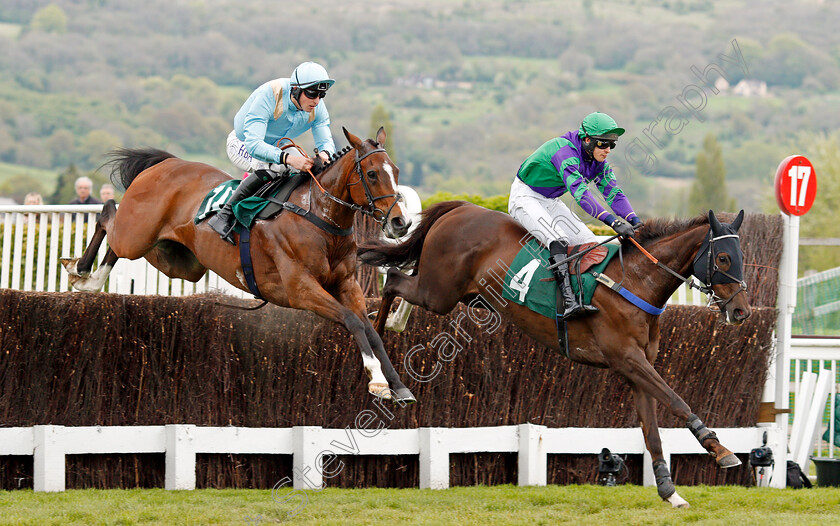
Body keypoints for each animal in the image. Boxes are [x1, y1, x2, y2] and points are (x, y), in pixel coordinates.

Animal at [63, 127, 420, 404]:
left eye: (396, 172)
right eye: (371, 174)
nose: (400, 222)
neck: (318, 217)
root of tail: (166, 163)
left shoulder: (346, 284)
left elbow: (371, 330)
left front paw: (398, 386)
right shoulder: (300, 290)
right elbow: (353, 322)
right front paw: (377, 381)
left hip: (177, 259)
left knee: (118, 239)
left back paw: (88, 280)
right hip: (136, 234)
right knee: (108, 213)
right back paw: (80, 272)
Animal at [358, 201, 752, 508]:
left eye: (742, 258)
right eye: (722, 258)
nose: (742, 311)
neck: (635, 282)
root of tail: (460, 208)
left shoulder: (637, 369)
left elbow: (652, 431)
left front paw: (670, 492)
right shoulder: (627, 359)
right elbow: (677, 401)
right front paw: (721, 451)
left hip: (465, 296)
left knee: (400, 281)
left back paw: (392, 330)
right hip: (438, 291)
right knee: (393, 280)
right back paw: (382, 363)